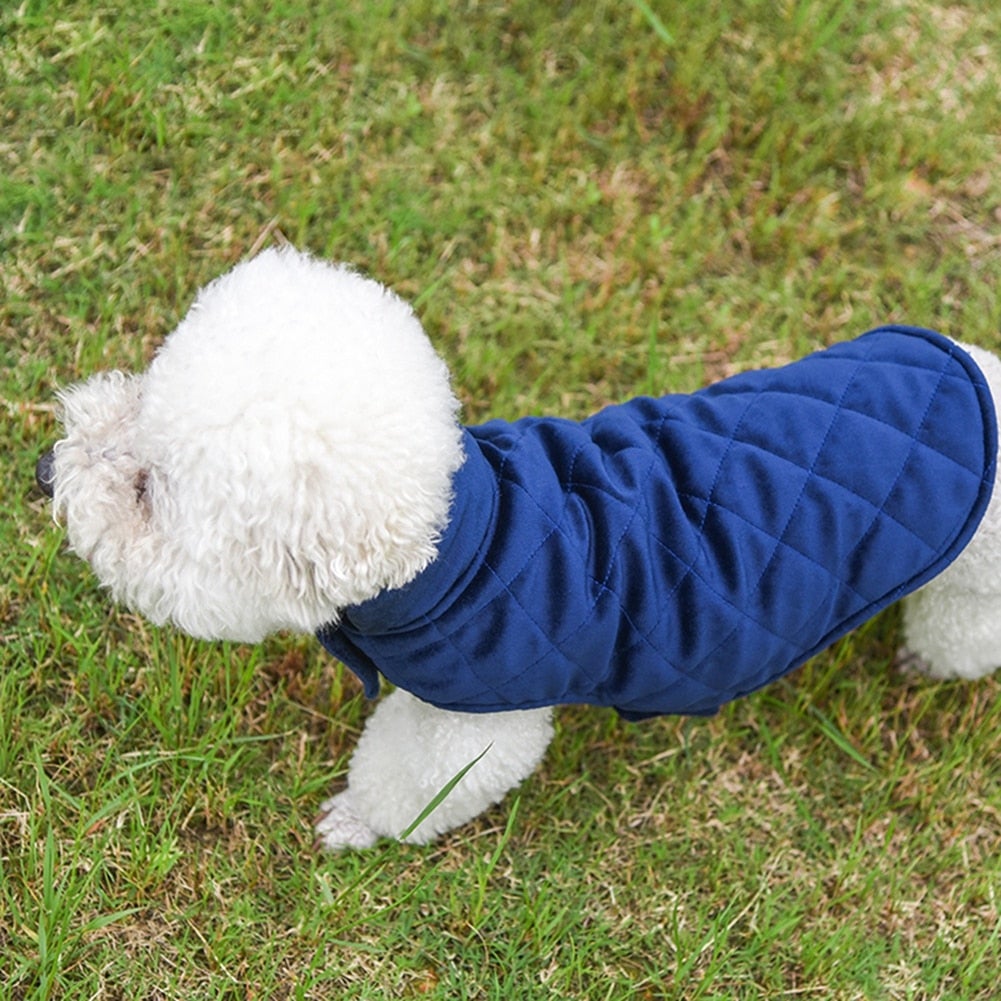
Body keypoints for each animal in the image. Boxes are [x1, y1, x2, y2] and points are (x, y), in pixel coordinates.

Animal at [37, 246, 1001, 848]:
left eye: (148, 491)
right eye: (140, 394)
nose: (44, 471)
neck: (454, 544)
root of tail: (983, 367)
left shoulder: (471, 721)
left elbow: (410, 781)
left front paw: (356, 824)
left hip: (973, 587)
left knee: (961, 637)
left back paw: (923, 662)